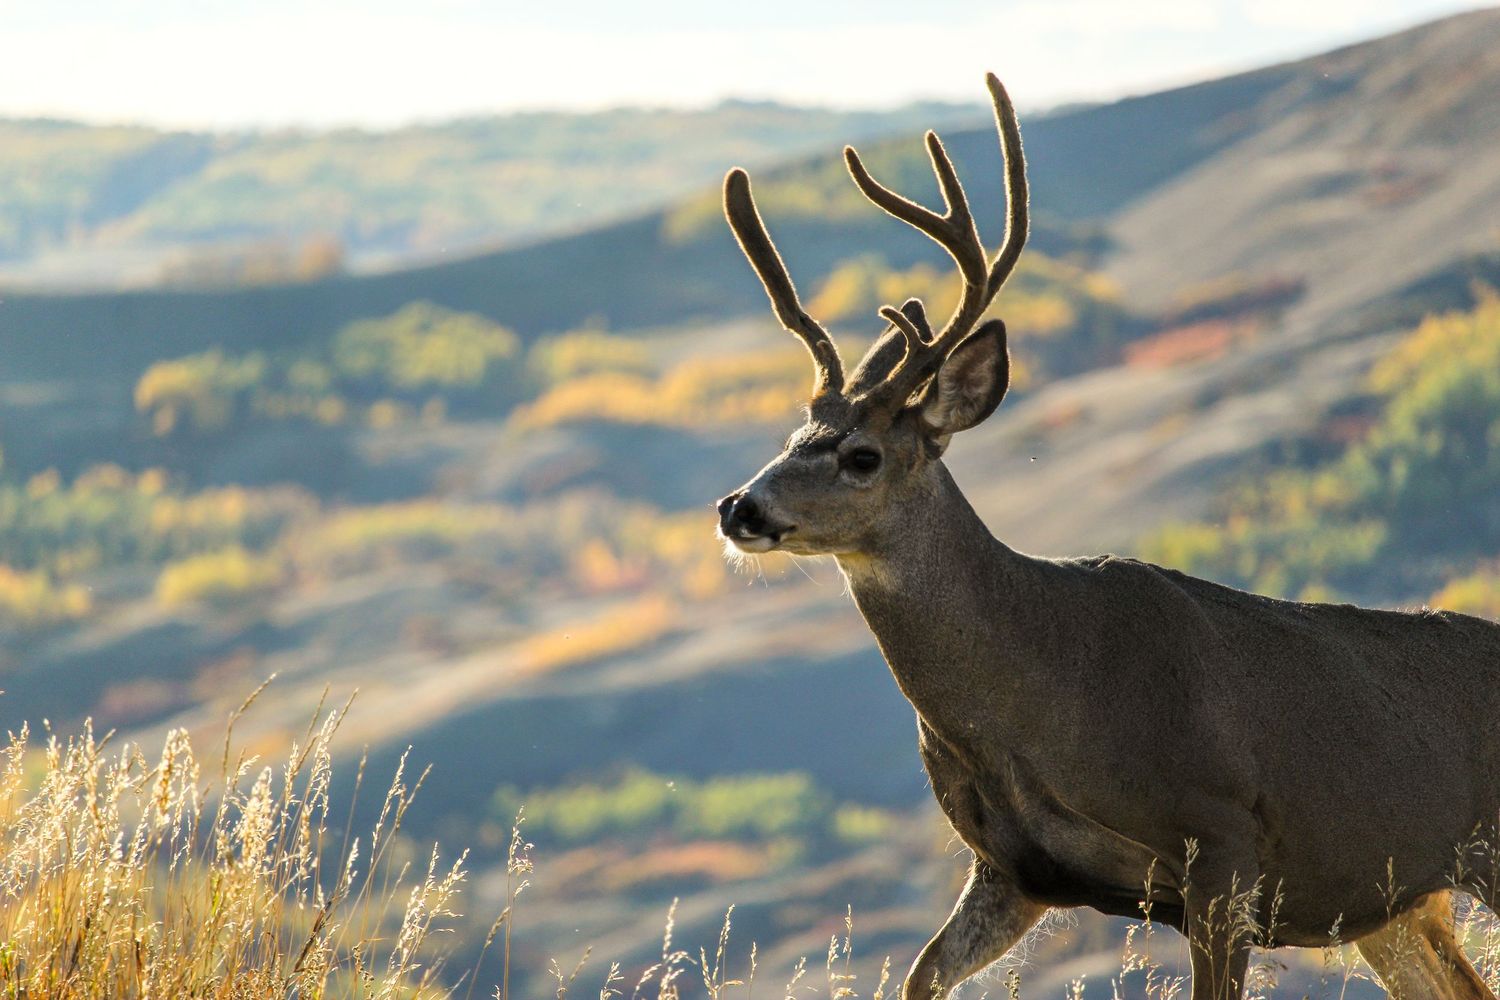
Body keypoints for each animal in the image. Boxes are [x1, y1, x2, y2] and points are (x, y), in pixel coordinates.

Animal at [714, 74, 1500, 1000]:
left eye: (862, 456)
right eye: (792, 433)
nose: (740, 509)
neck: (1042, 697)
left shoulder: (1224, 837)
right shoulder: (1011, 868)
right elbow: (919, 977)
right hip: (1399, 905)